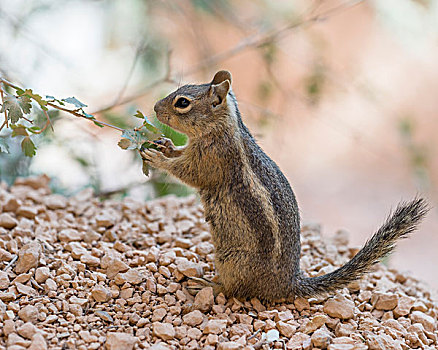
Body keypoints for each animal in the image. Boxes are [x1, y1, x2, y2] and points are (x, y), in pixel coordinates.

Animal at [142, 70, 430, 300]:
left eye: (182, 102)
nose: (155, 108)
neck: (223, 127)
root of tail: (287, 284)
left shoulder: (214, 160)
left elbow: (188, 172)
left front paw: (157, 158)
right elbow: (180, 153)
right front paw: (164, 145)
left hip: (231, 260)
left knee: (234, 290)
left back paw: (207, 285)